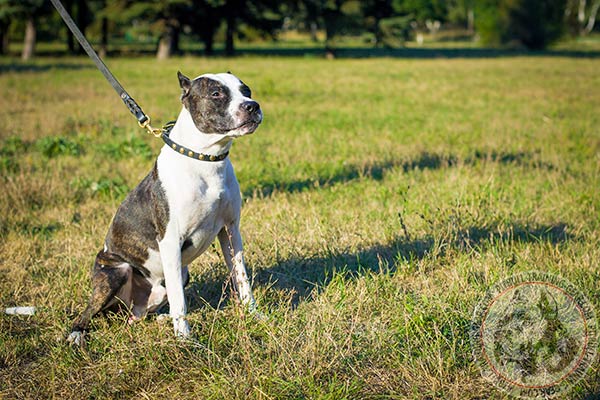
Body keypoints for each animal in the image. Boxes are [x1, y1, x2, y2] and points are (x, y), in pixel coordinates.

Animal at [67, 70, 262, 346]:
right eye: (216, 93)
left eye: (247, 91)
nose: (252, 106)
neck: (206, 159)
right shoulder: (170, 240)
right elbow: (180, 299)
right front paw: (185, 339)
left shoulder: (230, 230)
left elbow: (241, 276)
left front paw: (255, 315)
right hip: (115, 273)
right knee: (88, 311)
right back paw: (77, 333)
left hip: (178, 276)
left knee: (142, 313)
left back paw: (160, 318)